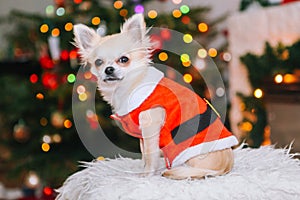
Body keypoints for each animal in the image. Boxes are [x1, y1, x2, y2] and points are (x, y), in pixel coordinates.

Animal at [74, 14, 238, 180]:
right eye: (98, 62)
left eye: (124, 59)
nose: (108, 69)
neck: (131, 86)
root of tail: (225, 167)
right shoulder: (142, 135)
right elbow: (144, 154)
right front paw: (142, 169)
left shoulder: (150, 128)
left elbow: (149, 154)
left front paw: (146, 174)